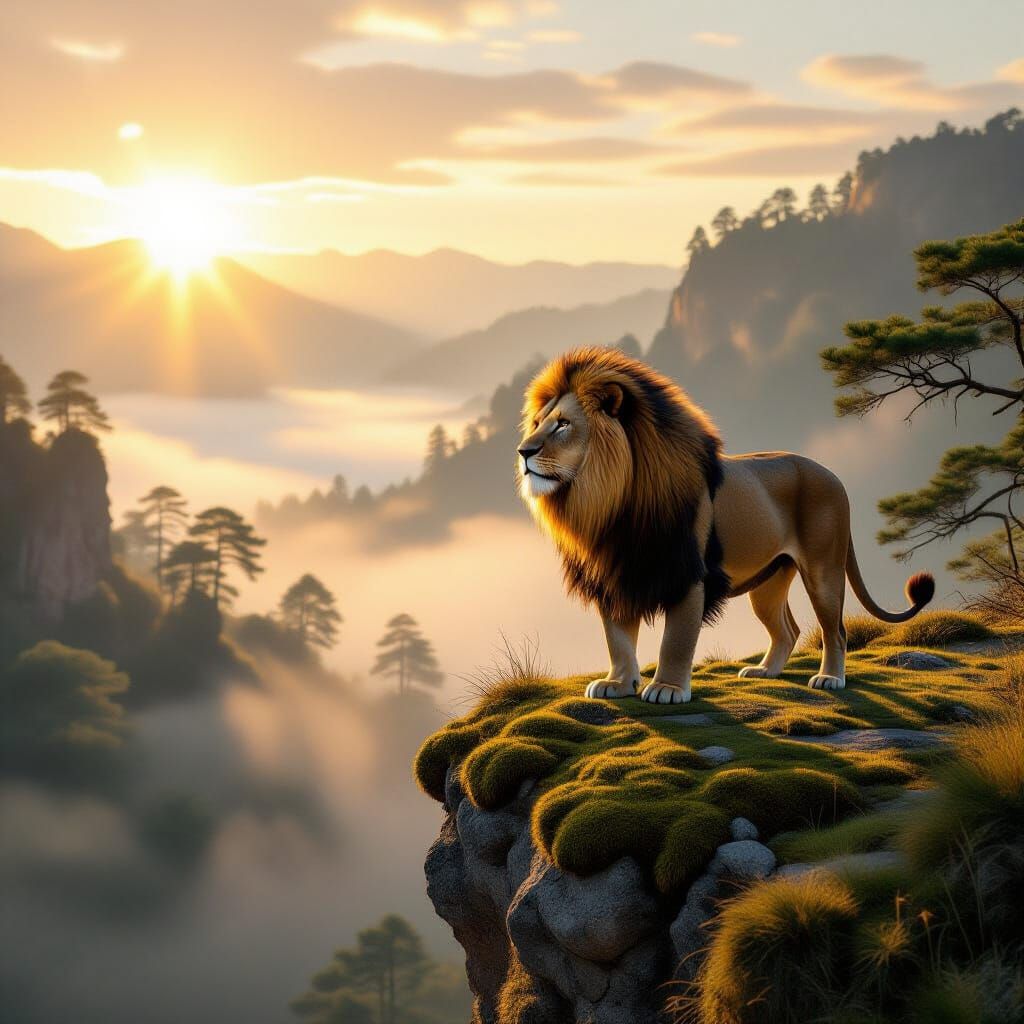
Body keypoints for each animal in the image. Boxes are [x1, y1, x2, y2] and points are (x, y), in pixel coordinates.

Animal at [517, 347, 934, 704]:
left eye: (563, 425)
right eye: (536, 423)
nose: (523, 451)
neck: (612, 504)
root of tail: (834, 475)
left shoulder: (688, 575)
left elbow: (676, 640)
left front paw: (667, 688)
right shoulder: (616, 574)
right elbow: (617, 638)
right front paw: (617, 683)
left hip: (823, 570)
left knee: (836, 630)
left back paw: (830, 677)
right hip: (769, 582)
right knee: (789, 630)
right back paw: (764, 672)